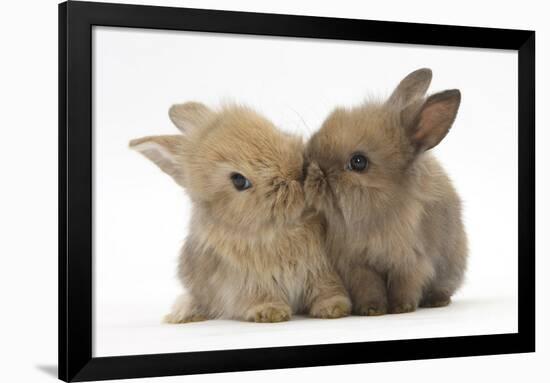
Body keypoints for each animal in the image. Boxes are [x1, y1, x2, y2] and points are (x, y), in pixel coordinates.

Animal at [132, 103, 352, 324]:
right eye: (239, 181)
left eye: (275, 130)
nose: (298, 173)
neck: (282, 228)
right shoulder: (248, 281)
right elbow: (259, 296)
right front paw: (270, 312)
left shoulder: (320, 270)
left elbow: (325, 289)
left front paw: (334, 308)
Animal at [306, 68, 470, 316]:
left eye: (358, 162)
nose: (311, 168)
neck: (378, 210)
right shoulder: (358, 264)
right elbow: (369, 287)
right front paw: (372, 309)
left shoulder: (411, 261)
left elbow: (405, 286)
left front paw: (402, 308)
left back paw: (436, 301)